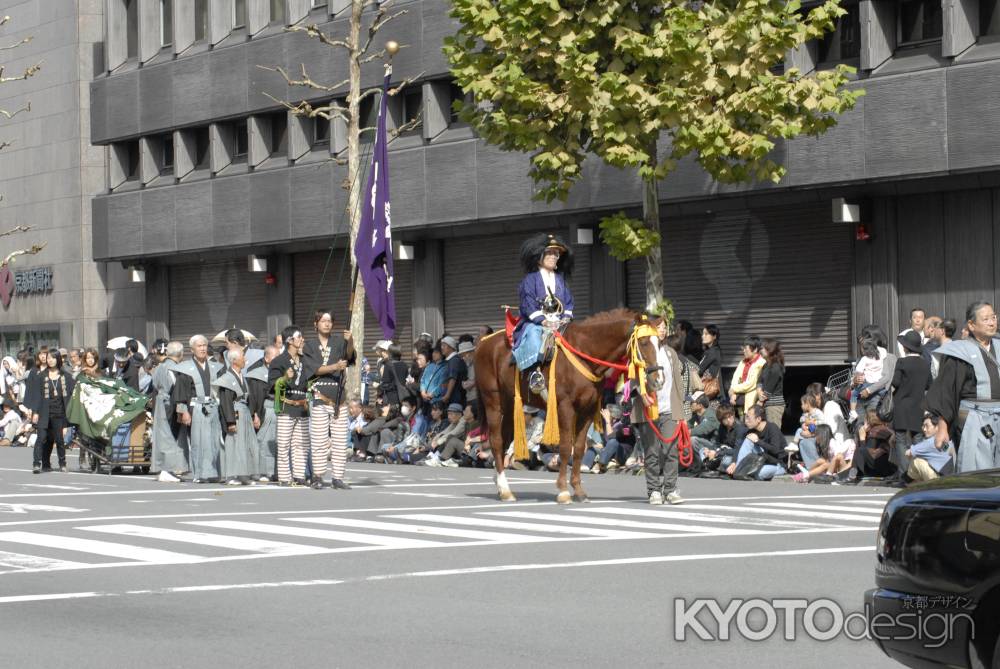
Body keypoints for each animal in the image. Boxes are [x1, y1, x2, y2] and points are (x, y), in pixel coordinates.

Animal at [476, 308, 664, 500]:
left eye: (660, 344)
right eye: (643, 342)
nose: (658, 380)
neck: (585, 353)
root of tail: (485, 342)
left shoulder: (587, 409)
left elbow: (579, 449)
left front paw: (578, 491)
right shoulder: (565, 407)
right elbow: (566, 447)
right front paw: (563, 490)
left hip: (509, 405)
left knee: (504, 440)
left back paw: (500, 485)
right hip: (492, 400)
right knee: (496, 441)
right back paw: (505, 489)